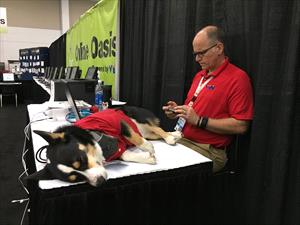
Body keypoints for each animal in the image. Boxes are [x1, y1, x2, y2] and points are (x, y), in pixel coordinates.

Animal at [27, 106, 182, 187]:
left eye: (81, 160)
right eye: (76, 178)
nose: (100, 181)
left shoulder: (119, 122)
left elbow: (131, 136)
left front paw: (148, 148)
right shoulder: (118, 150)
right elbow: (127, 155)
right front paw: (147, 157)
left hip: (138, 120)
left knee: (157, 129)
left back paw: (170, 138)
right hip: (146, 131)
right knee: (155, 133)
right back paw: (175, 134)